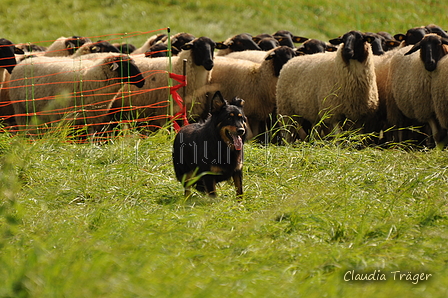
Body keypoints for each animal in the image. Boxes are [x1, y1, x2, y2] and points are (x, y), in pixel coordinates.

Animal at [9, 53, 145, 133]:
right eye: (125, 66)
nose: (143, 81)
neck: (92, 78)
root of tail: (22, 63)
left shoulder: (91, 116)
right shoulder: (63, 115)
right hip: (21, 108)